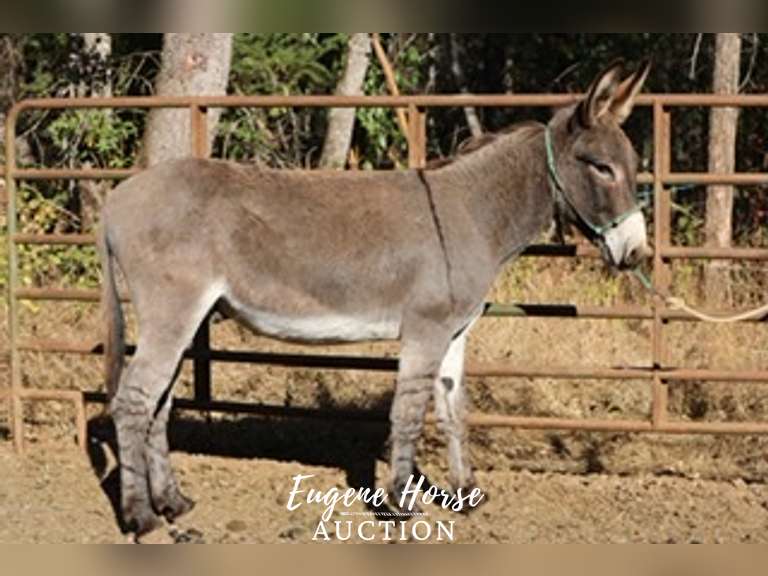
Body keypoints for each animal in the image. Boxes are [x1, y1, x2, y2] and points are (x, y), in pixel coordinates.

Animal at [99, 60, 651, 536]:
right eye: (601, 167)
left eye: (633, 166)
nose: (638, 253)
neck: (473, 214)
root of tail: (116, 198)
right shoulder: (425, 330)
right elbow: (407, 415)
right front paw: (400, 505)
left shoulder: (455, 332)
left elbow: (454, 410)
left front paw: (466, 493)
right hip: (171, 312)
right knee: (133, 402)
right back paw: (140, 517)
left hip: (187, 318)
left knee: (159, 404)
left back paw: (173, 503)